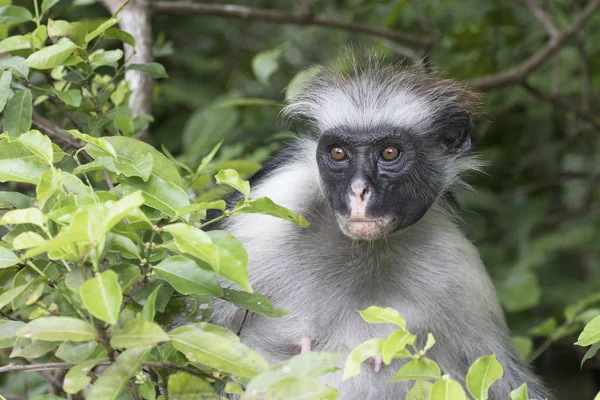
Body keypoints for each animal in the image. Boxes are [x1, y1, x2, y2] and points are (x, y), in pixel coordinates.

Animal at [205, 55, 548, 400]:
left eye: (389, 152)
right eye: (338, 153)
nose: (358, 191)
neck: (362, 247)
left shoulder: (459, 270)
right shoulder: (267, 214)